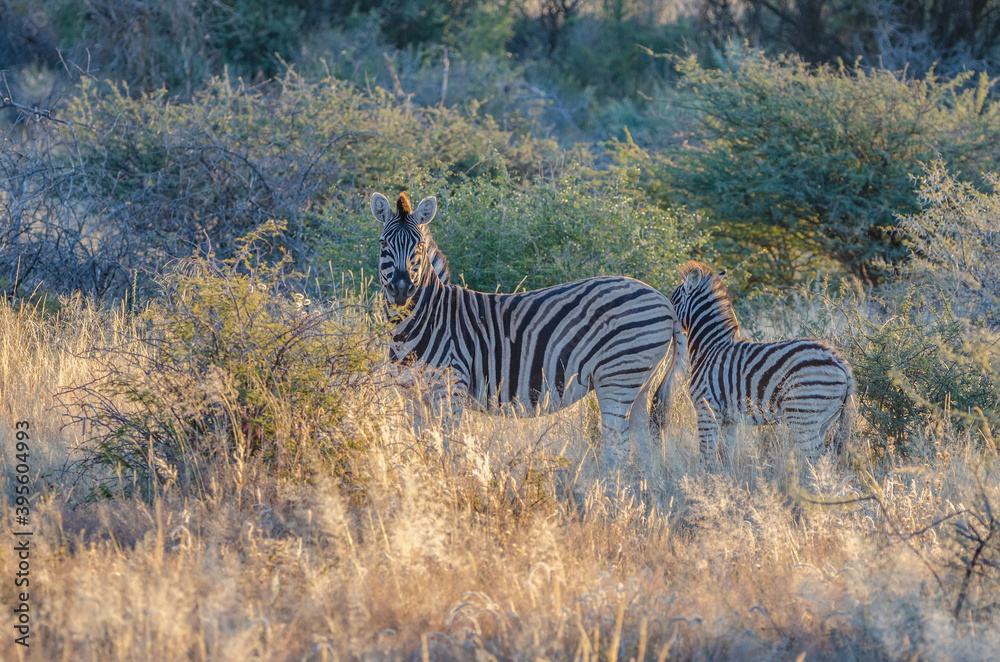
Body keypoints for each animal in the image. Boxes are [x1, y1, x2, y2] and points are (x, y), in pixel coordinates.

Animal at [371, 191, 686, 471]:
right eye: (383, 243)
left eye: (419, 246)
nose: (401, 290)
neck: (420, 321)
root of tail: (663, 300)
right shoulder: (411, 395)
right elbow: (420, 445)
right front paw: (423, 479)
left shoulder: (450, 389)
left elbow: (445, 446)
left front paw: (446, 484)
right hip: (639, 382)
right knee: (643, 445)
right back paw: (637, 492)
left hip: (618, 377)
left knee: (617, 449)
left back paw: (608, 492)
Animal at [667, 260, 856, 465]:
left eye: (672, 301)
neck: (710, 346)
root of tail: (839, 361)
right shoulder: (729, 419)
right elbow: (725, 458)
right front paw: (725, 474)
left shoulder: (706, 409)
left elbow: (706, 459)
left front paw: (704, 474)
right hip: (823, 422)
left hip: (803, 416)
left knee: (818, 460)